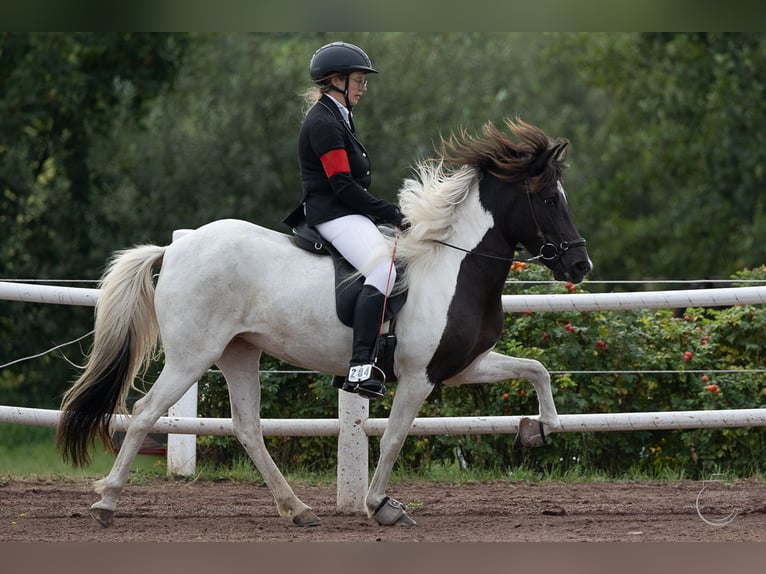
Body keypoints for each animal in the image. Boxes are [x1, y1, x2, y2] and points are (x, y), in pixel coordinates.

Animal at [55, 118, 592, 532]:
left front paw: (540, 429)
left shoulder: (461, 367)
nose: (580, 265)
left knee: (247, 427)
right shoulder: (419, 376)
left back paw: (296, 510)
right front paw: (381, 506)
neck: (453, 266)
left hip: (238, 352)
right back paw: (106, 502)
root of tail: (175, 247)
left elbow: (537, 369)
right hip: (192, 356)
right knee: (145, 412)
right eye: (548, 199)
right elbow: (393, 439)